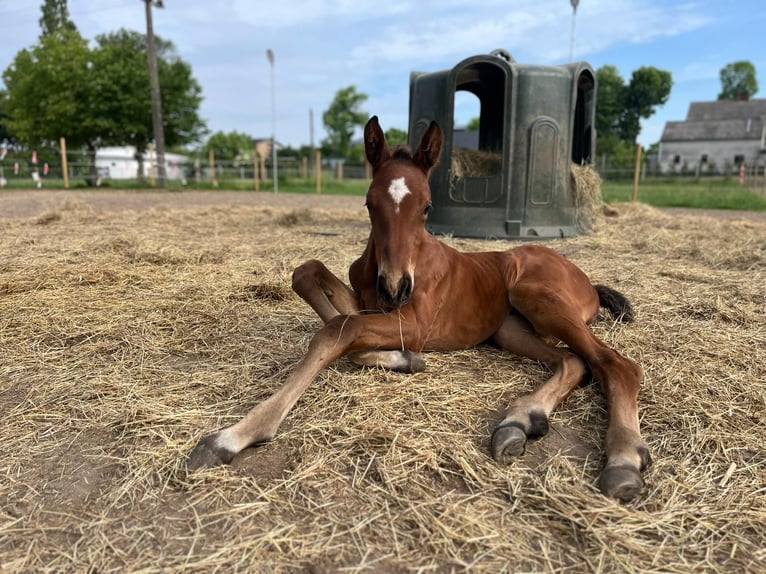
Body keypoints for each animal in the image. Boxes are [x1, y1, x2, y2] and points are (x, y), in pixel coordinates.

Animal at [187, 116, 651, 502]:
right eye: (369, 204)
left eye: (427, 207)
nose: (395, 286)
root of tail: (586, 279)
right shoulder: (372, 305)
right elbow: (313, 279)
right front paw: (402, 359)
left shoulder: (414, 321)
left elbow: (338, 330)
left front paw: (232, 436)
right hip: (511, 329)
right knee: (574, 362)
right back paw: (519, 422)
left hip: (536, 297)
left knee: (617, 364)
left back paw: (623, 460)